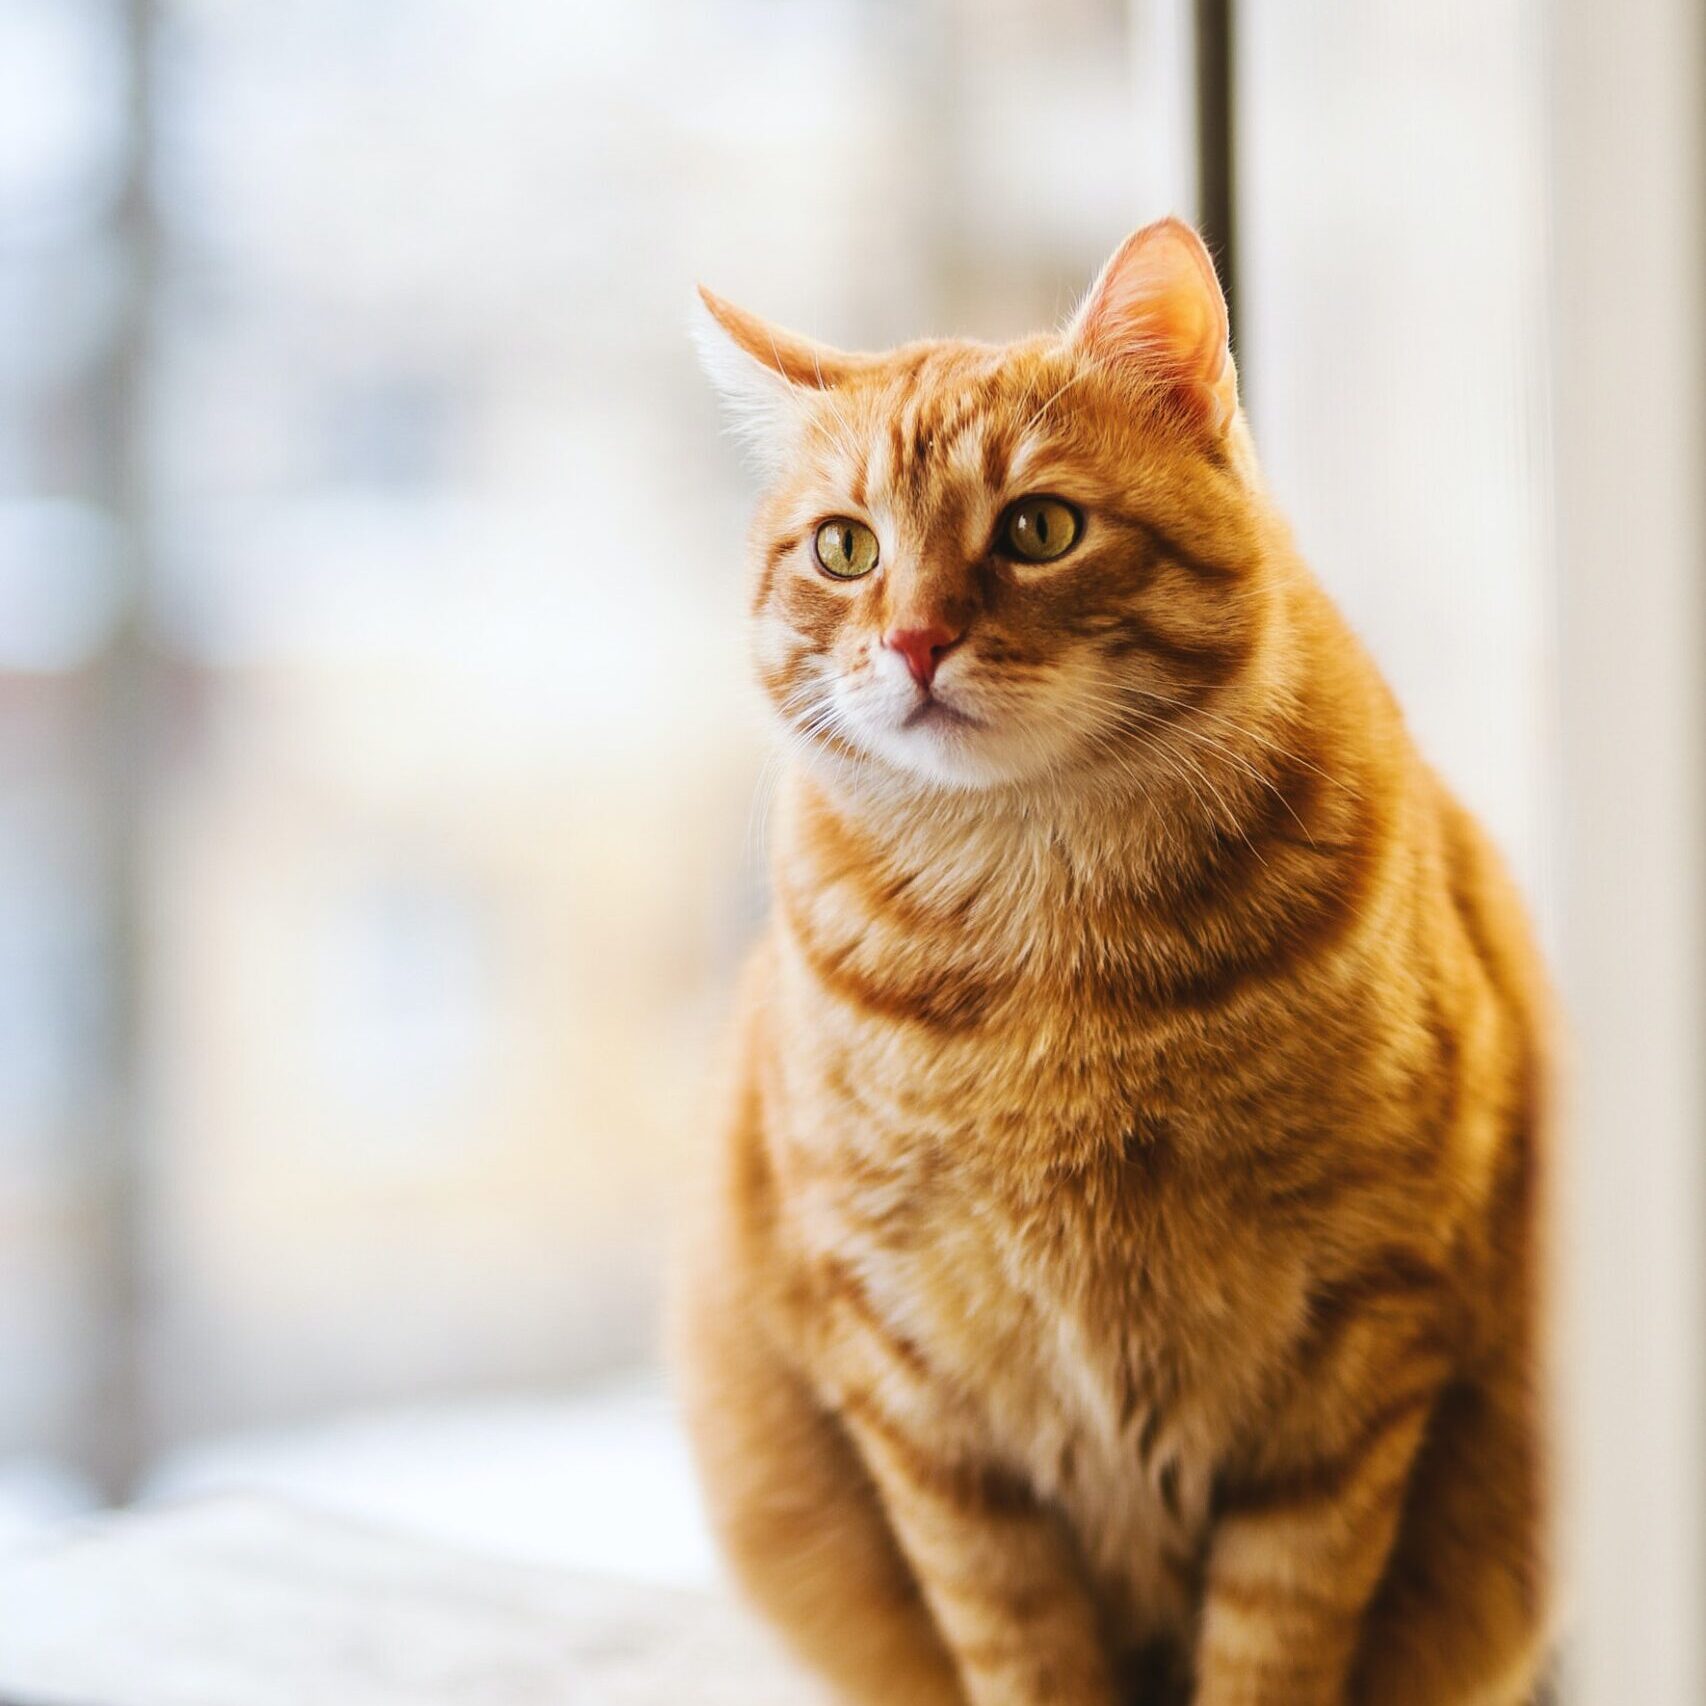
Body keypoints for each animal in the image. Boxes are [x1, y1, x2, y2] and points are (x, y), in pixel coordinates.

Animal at [672, 223, 1555, 1706]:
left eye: (1038, 528)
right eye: (845, 549)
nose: (912, 640)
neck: (1051, 948)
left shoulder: (1356, 1347)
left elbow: (1274, 1635)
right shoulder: (916, 1389)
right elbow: (1016, 1638)